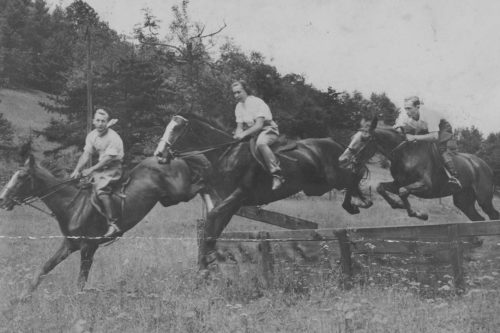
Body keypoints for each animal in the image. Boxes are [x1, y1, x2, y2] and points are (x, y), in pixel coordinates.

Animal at [338, 116, 498, 220]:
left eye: (364, 139)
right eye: (352, 137)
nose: (342, 160)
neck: (405, 154)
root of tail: (484, 165)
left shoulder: (426, 185)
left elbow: (403, 192)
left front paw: (418, 214)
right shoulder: (397, 183)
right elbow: (381, 187)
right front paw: (398, 205)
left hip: (483, 198)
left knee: (493, 215)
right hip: (463, 200)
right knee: (478, 219)